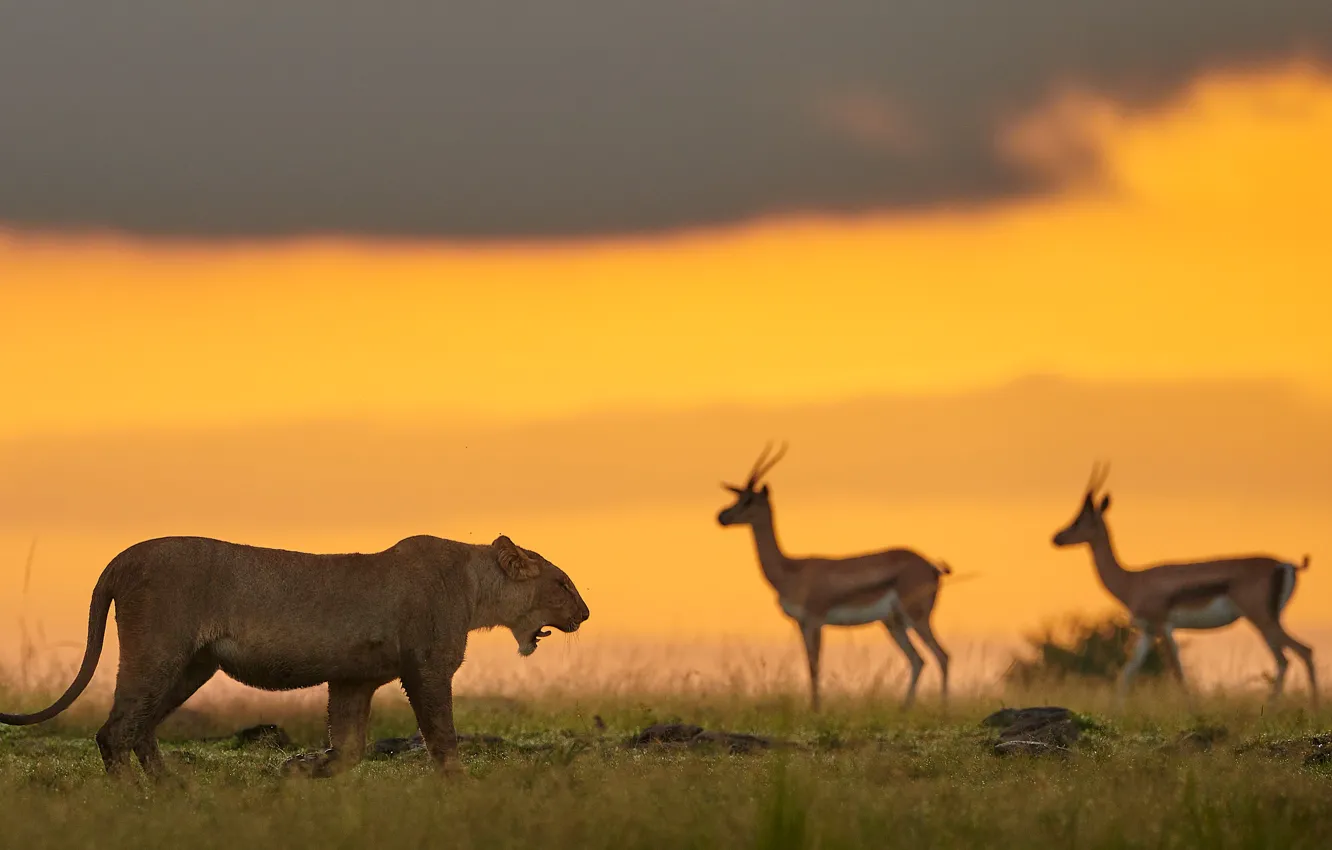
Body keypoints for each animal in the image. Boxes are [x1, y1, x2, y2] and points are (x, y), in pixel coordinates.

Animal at [0, 533, 590, 780]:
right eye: (562, 583)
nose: (585, 614)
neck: (475, 586)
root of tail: (122, 557)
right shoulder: (426, 668)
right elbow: (442, 738)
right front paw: (460, 787)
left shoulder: (354, 678)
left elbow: (349, 748)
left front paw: (298, 770)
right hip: (158, 652)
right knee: (115, 731)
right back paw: (135, 802)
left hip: (191, 666)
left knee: (140, 728)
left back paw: (174, 792)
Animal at [716, 443, 952, 711]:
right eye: (737, 497)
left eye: (749, 499)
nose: (722, 517)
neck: (791, 570)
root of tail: (932, 566)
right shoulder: (802, 624)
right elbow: (810, 665)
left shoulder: (816, 621)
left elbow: (815, 666)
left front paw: (816, 711)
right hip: (894, 623)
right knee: (918, 660)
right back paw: (904, 710)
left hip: (917, 617)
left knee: (942, 656)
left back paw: (943, 711)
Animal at [1052, 463, 1318, 708]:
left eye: (1080, 519)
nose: (1057, 538)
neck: (1132, 581)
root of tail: (1286, 565)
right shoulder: (1148, 631)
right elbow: (1128, 672)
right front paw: (1116, 711)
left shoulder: (1163, 626)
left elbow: (1177, 673)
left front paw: (1193, 711)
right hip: (1269, 620)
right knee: (1292, 656)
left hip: (1261, 620)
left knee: (1296, 654)